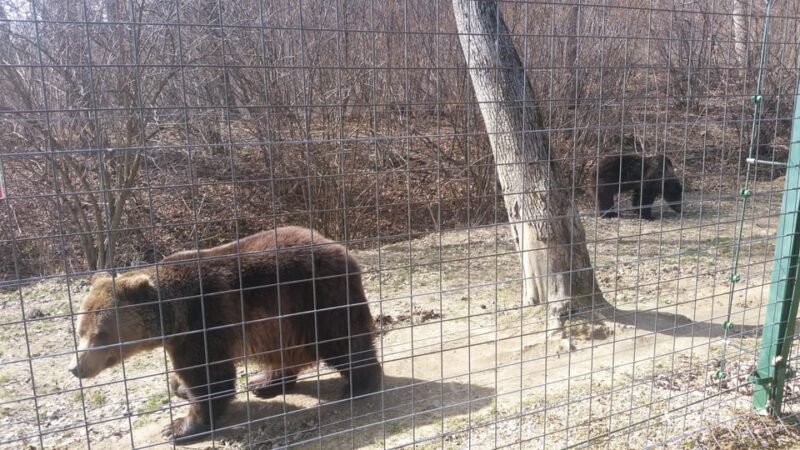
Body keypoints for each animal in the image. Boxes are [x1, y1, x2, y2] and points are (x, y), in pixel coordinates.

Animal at [69, 226, 382, 441]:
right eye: (80, 330)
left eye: (101, 334)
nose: (75, 367)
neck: (175, 317)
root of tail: (341, 249)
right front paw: (179, 388)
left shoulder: (205, 322)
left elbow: (209, 377)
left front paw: (179, 427)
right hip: (285, 317)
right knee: (283, 350)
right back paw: (265, 382)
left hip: (318, 296)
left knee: (342, 339)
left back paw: (358, 384)